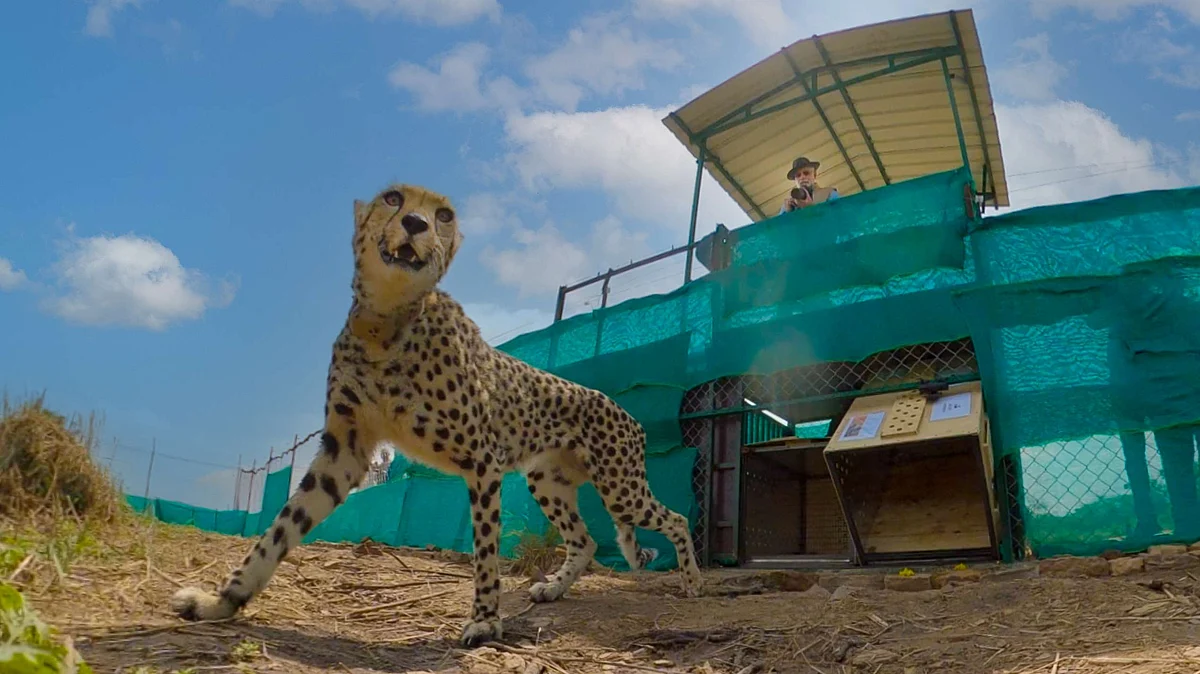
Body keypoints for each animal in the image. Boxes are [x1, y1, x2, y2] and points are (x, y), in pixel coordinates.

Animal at [168, 183, 702, 647]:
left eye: (443, 214)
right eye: (392, 198)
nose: (415, 223)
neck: (386, 320)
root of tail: (623, 409)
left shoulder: (482, 461)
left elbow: (485, 549)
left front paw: (485, 622)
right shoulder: (346, 451)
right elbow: (278, 532)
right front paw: (221, 602)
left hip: (619, 487)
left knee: (675, 517)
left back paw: (693, 582)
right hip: (548, 481)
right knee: (587, 540)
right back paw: (554, 587)